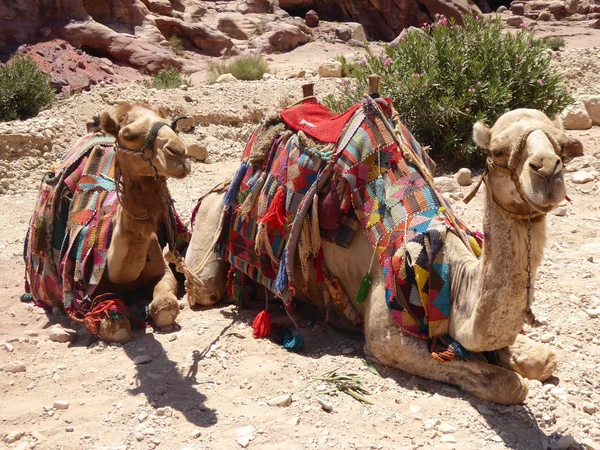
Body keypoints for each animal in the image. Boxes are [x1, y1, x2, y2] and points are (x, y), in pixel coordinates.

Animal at [23, 103, 190, 342]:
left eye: (172, 125)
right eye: (128, 135)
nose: (179, 153)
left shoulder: (164, 270)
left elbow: (166, 305)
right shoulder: (84, 289)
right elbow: (114, 323)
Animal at [185, 91, 568, 404]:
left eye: (562, 146)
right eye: (498, 151)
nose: (547, 169)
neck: (446, 269)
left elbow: (544, 358)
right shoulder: (385, 335)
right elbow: (509, 384)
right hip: (211, 220)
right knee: (203, 286)